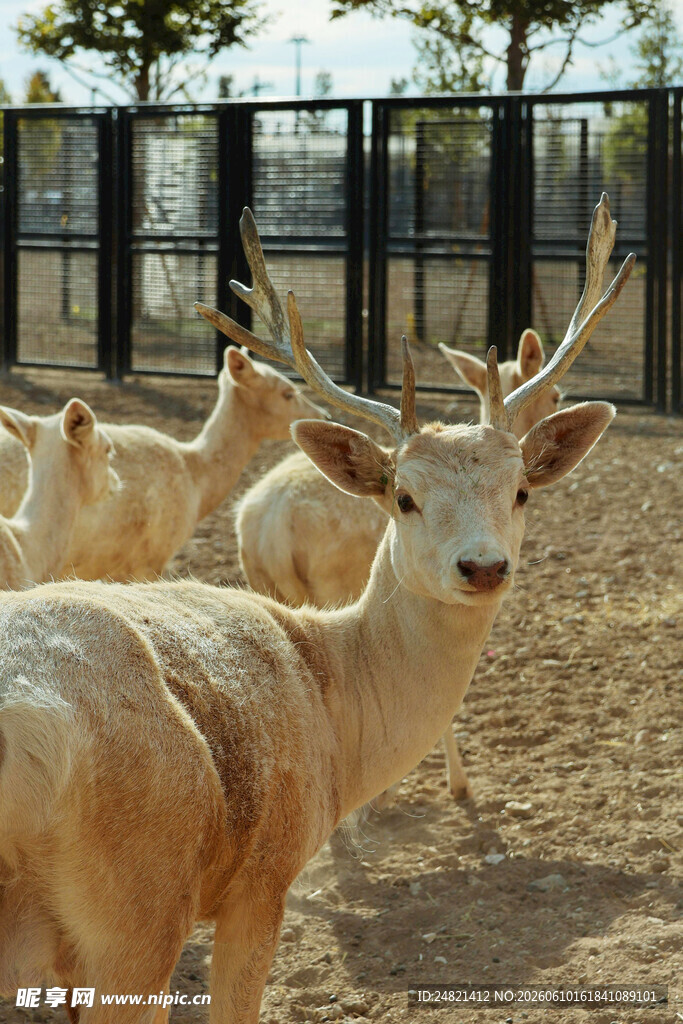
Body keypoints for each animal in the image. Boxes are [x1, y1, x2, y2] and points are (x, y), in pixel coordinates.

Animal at [235, 330, 561, 800]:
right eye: (403, 499)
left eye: (522, 492)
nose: (485, 567)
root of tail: (272, 524)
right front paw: (458, 784)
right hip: (334, 582)